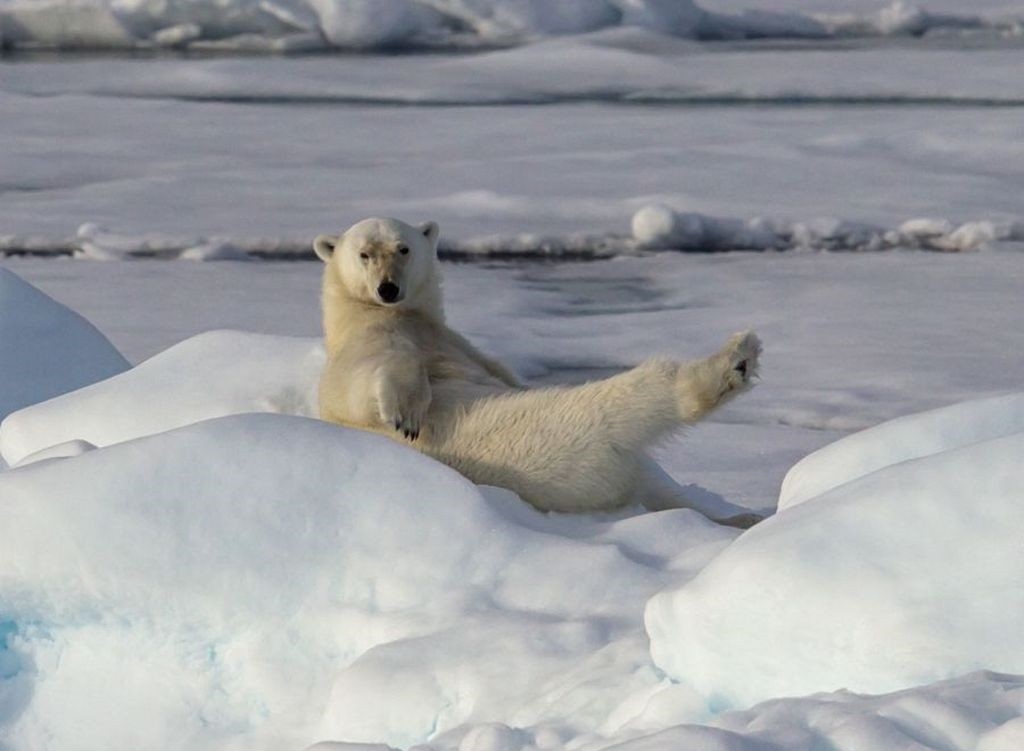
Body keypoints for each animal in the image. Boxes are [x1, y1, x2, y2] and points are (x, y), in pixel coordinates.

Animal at [315, 214, 765, 524]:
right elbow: (371, 378)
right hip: (556, 437)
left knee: (663, 490)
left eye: (403, 248)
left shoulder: (458, 342)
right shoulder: (367, 344)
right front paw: (405, 414)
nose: (388, 288)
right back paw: (735, 361)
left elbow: (498, 368)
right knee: (628, 400)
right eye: (364, 254)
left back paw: (742, 518)